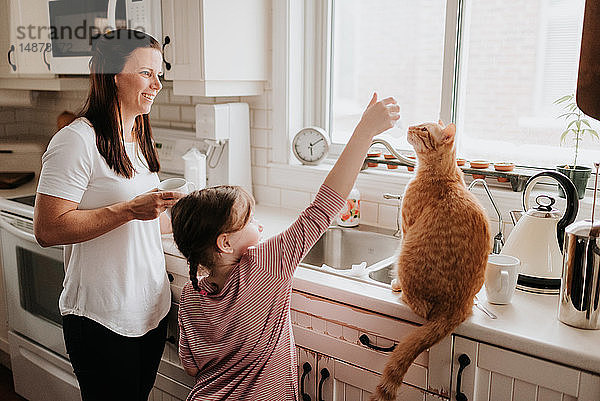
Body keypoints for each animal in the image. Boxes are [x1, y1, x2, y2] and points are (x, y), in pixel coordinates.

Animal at [370, 121, 492, 400]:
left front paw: (395, 284)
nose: (411, 126)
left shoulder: (407, 228)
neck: (444, 174)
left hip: (407, 255)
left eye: (424, 130)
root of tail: (456, 306)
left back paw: (400, 291)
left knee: (417, 304)